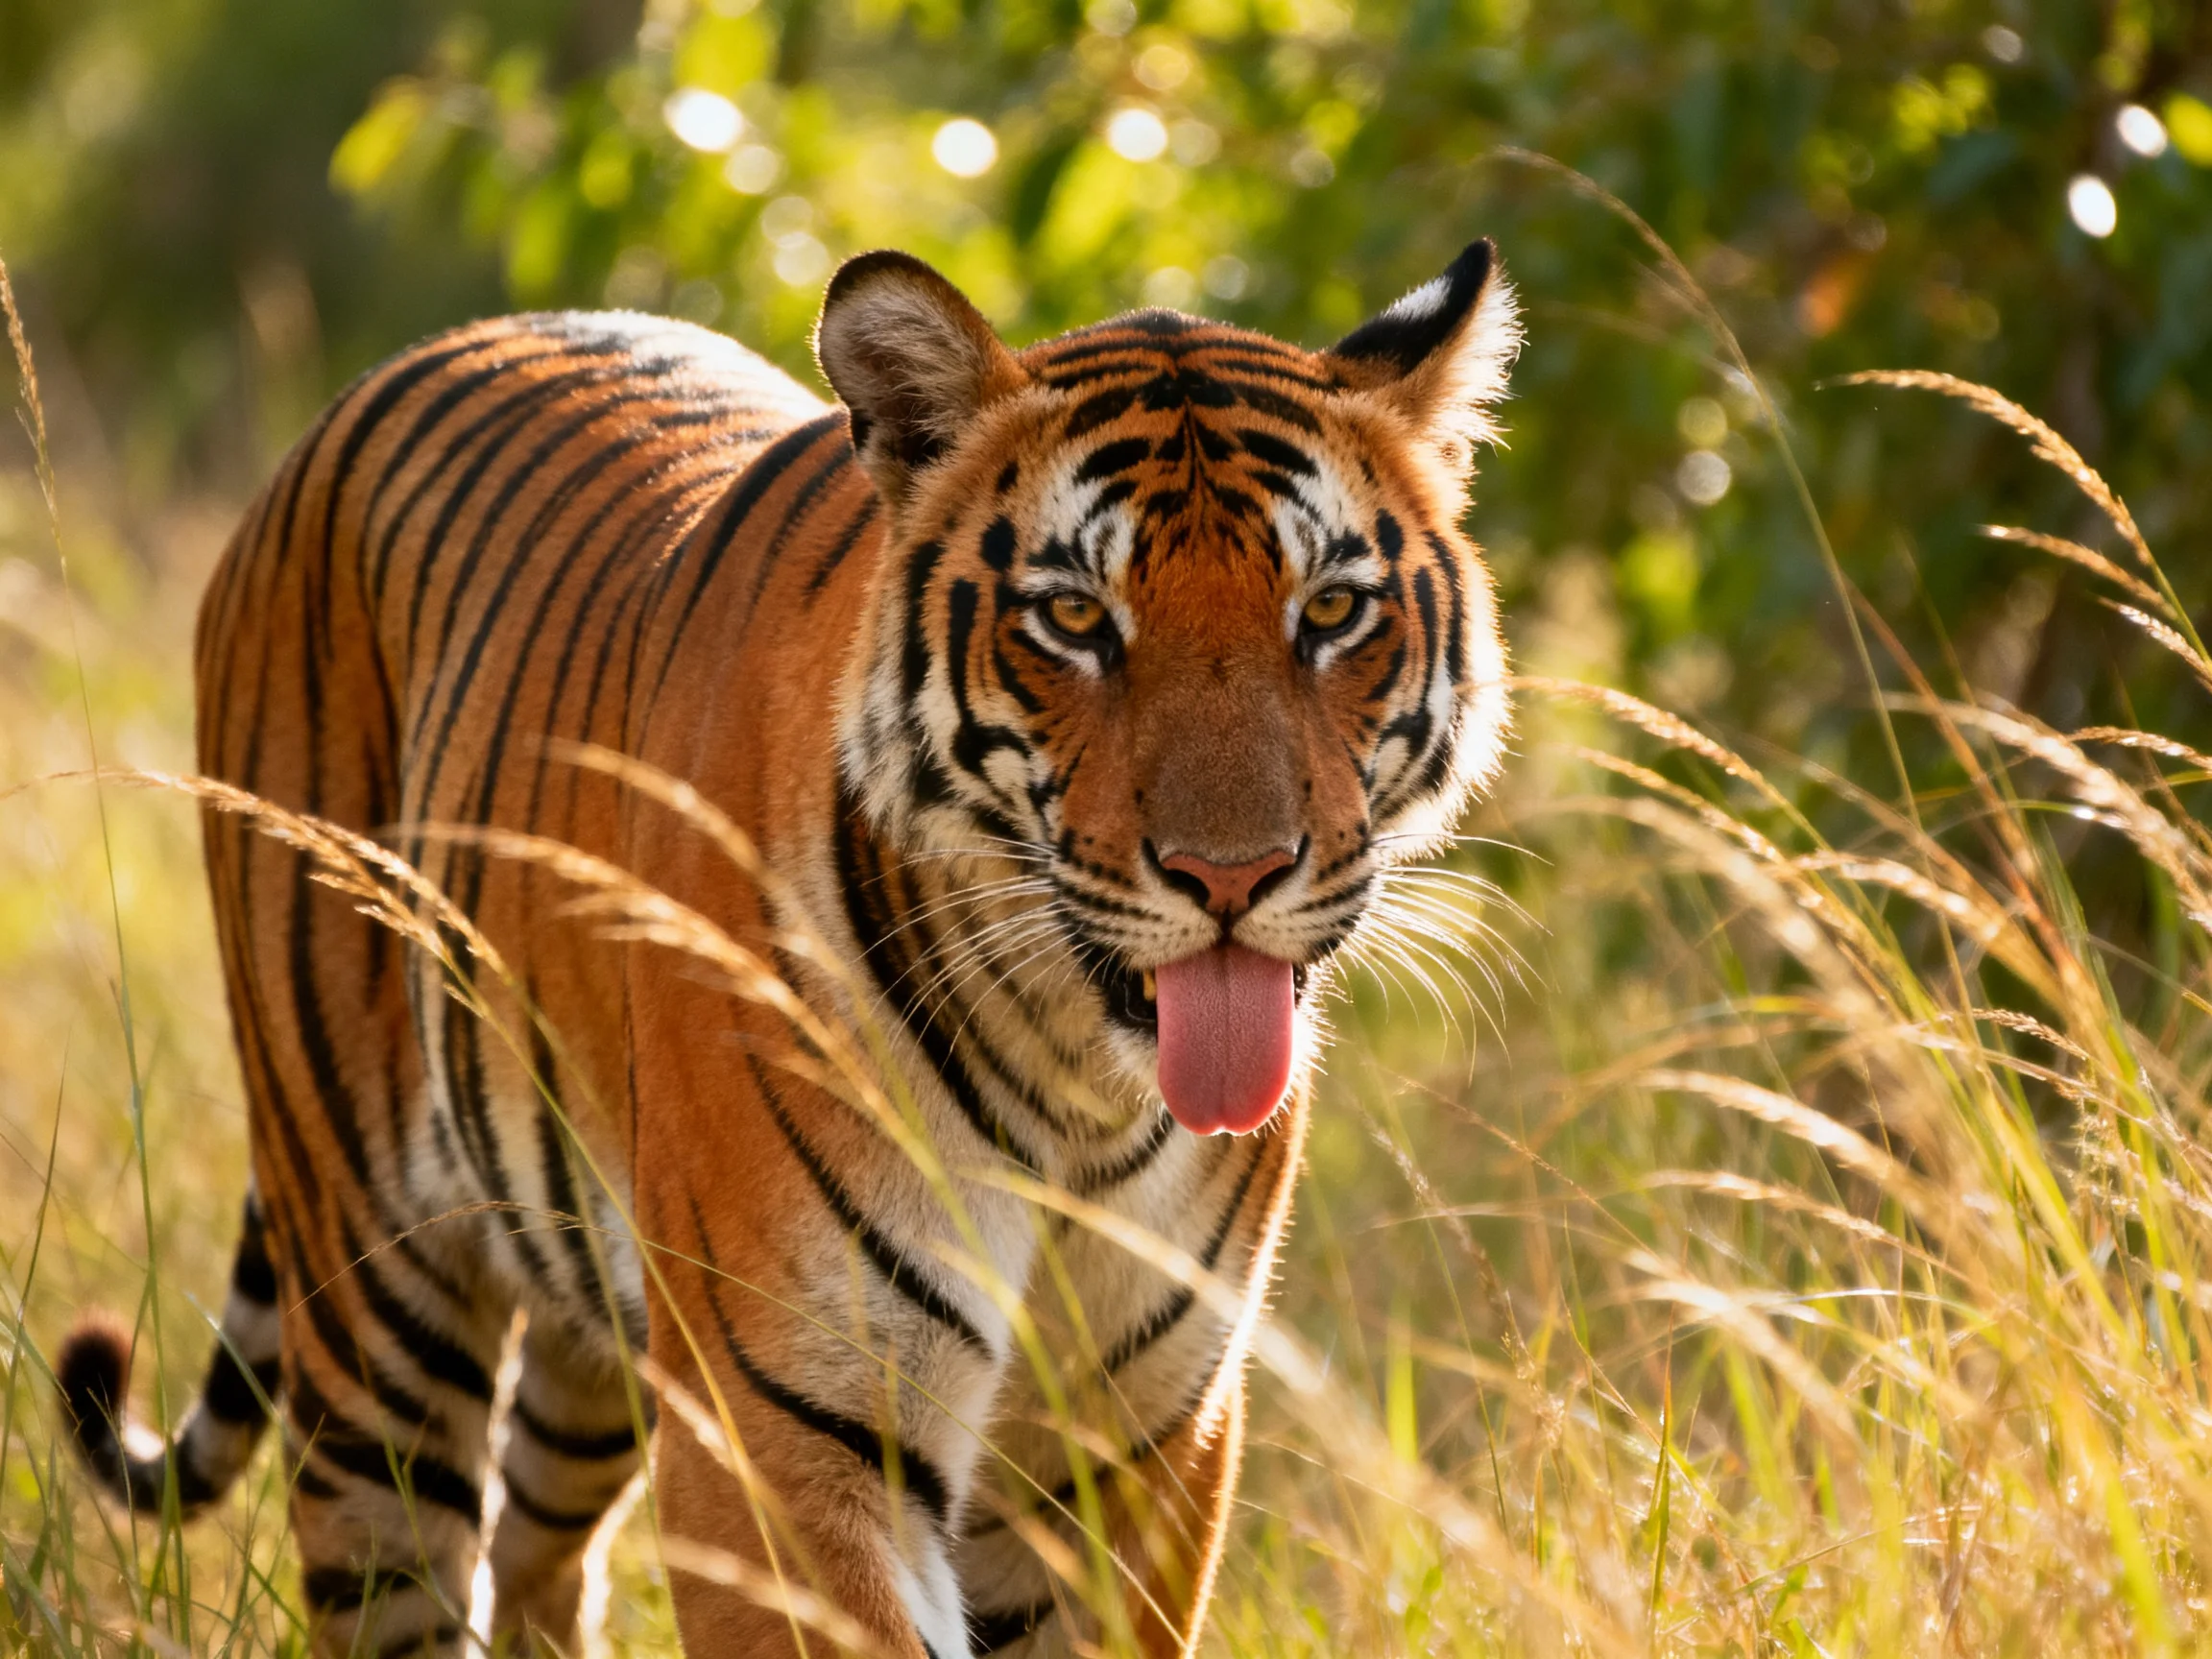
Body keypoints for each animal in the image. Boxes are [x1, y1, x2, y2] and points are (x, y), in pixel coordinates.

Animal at [56, 238, 1518, 1658]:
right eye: (1074, 620)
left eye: (1329, 612)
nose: (1233, 875)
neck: (1076, 1094)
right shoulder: (790, 1430)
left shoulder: (1139, 1451)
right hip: (376, 1309)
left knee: (539, 1552)